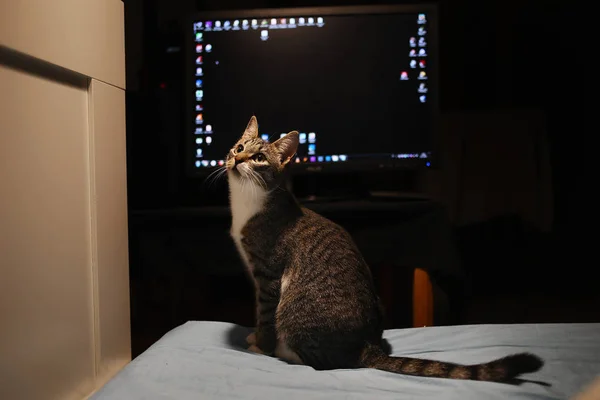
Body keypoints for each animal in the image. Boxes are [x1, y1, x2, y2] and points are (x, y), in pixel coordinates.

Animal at [225, 115, 544, 382]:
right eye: (238, 147)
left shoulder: (268, 275)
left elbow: (265, 315)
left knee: (321, 360)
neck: (249, 202)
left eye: (259, 158)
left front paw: (261, 345)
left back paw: (284, 351)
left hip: (293, 311)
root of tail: (367, 346)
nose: (237, 159)